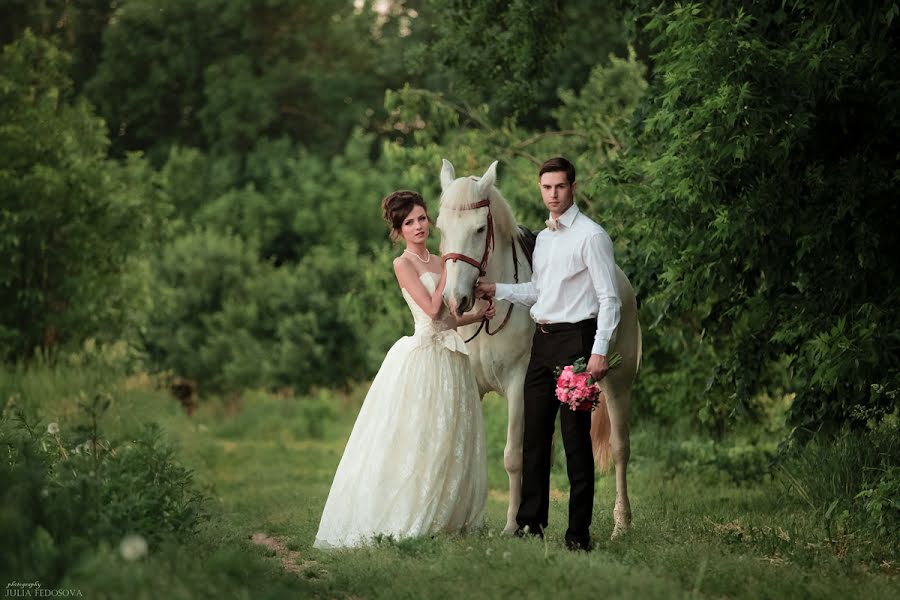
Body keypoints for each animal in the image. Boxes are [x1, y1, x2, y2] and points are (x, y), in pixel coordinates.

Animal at [434, 159, 640, 540]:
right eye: (440, 228)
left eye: (480, 228)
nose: (456, 300)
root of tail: (621, 281)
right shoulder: (475, 386)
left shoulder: (519, 385)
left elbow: (514, 456)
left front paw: (511, 525)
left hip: (617, 384)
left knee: (621, 449)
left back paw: (621, 525)